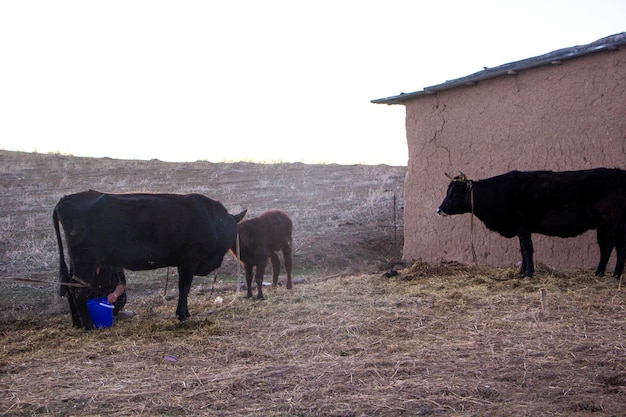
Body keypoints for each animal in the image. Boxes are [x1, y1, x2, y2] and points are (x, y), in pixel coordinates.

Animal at [53, 190, 245, 330]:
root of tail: (68, 198)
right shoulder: (189, 259)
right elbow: (184, 287)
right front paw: (182, 315)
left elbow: (184, 288)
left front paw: (186, 313)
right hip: (85, 260)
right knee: (78, 291)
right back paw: (88, 325)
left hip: (77, 261)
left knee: (70, 287)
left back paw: (77, 323)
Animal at [436, 167, 624, 278]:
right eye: (448, 191)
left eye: (455, 193)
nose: (439, 209)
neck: (498, 192)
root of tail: (618, 173)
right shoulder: (521, 229)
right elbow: (523, 250)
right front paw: (521, 273)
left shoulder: (522, 225)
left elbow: (527, 249)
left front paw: (528, 273)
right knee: (620, 248)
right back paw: (616, 274)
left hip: (607, 222)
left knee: (607, 246)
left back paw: (599, 273)